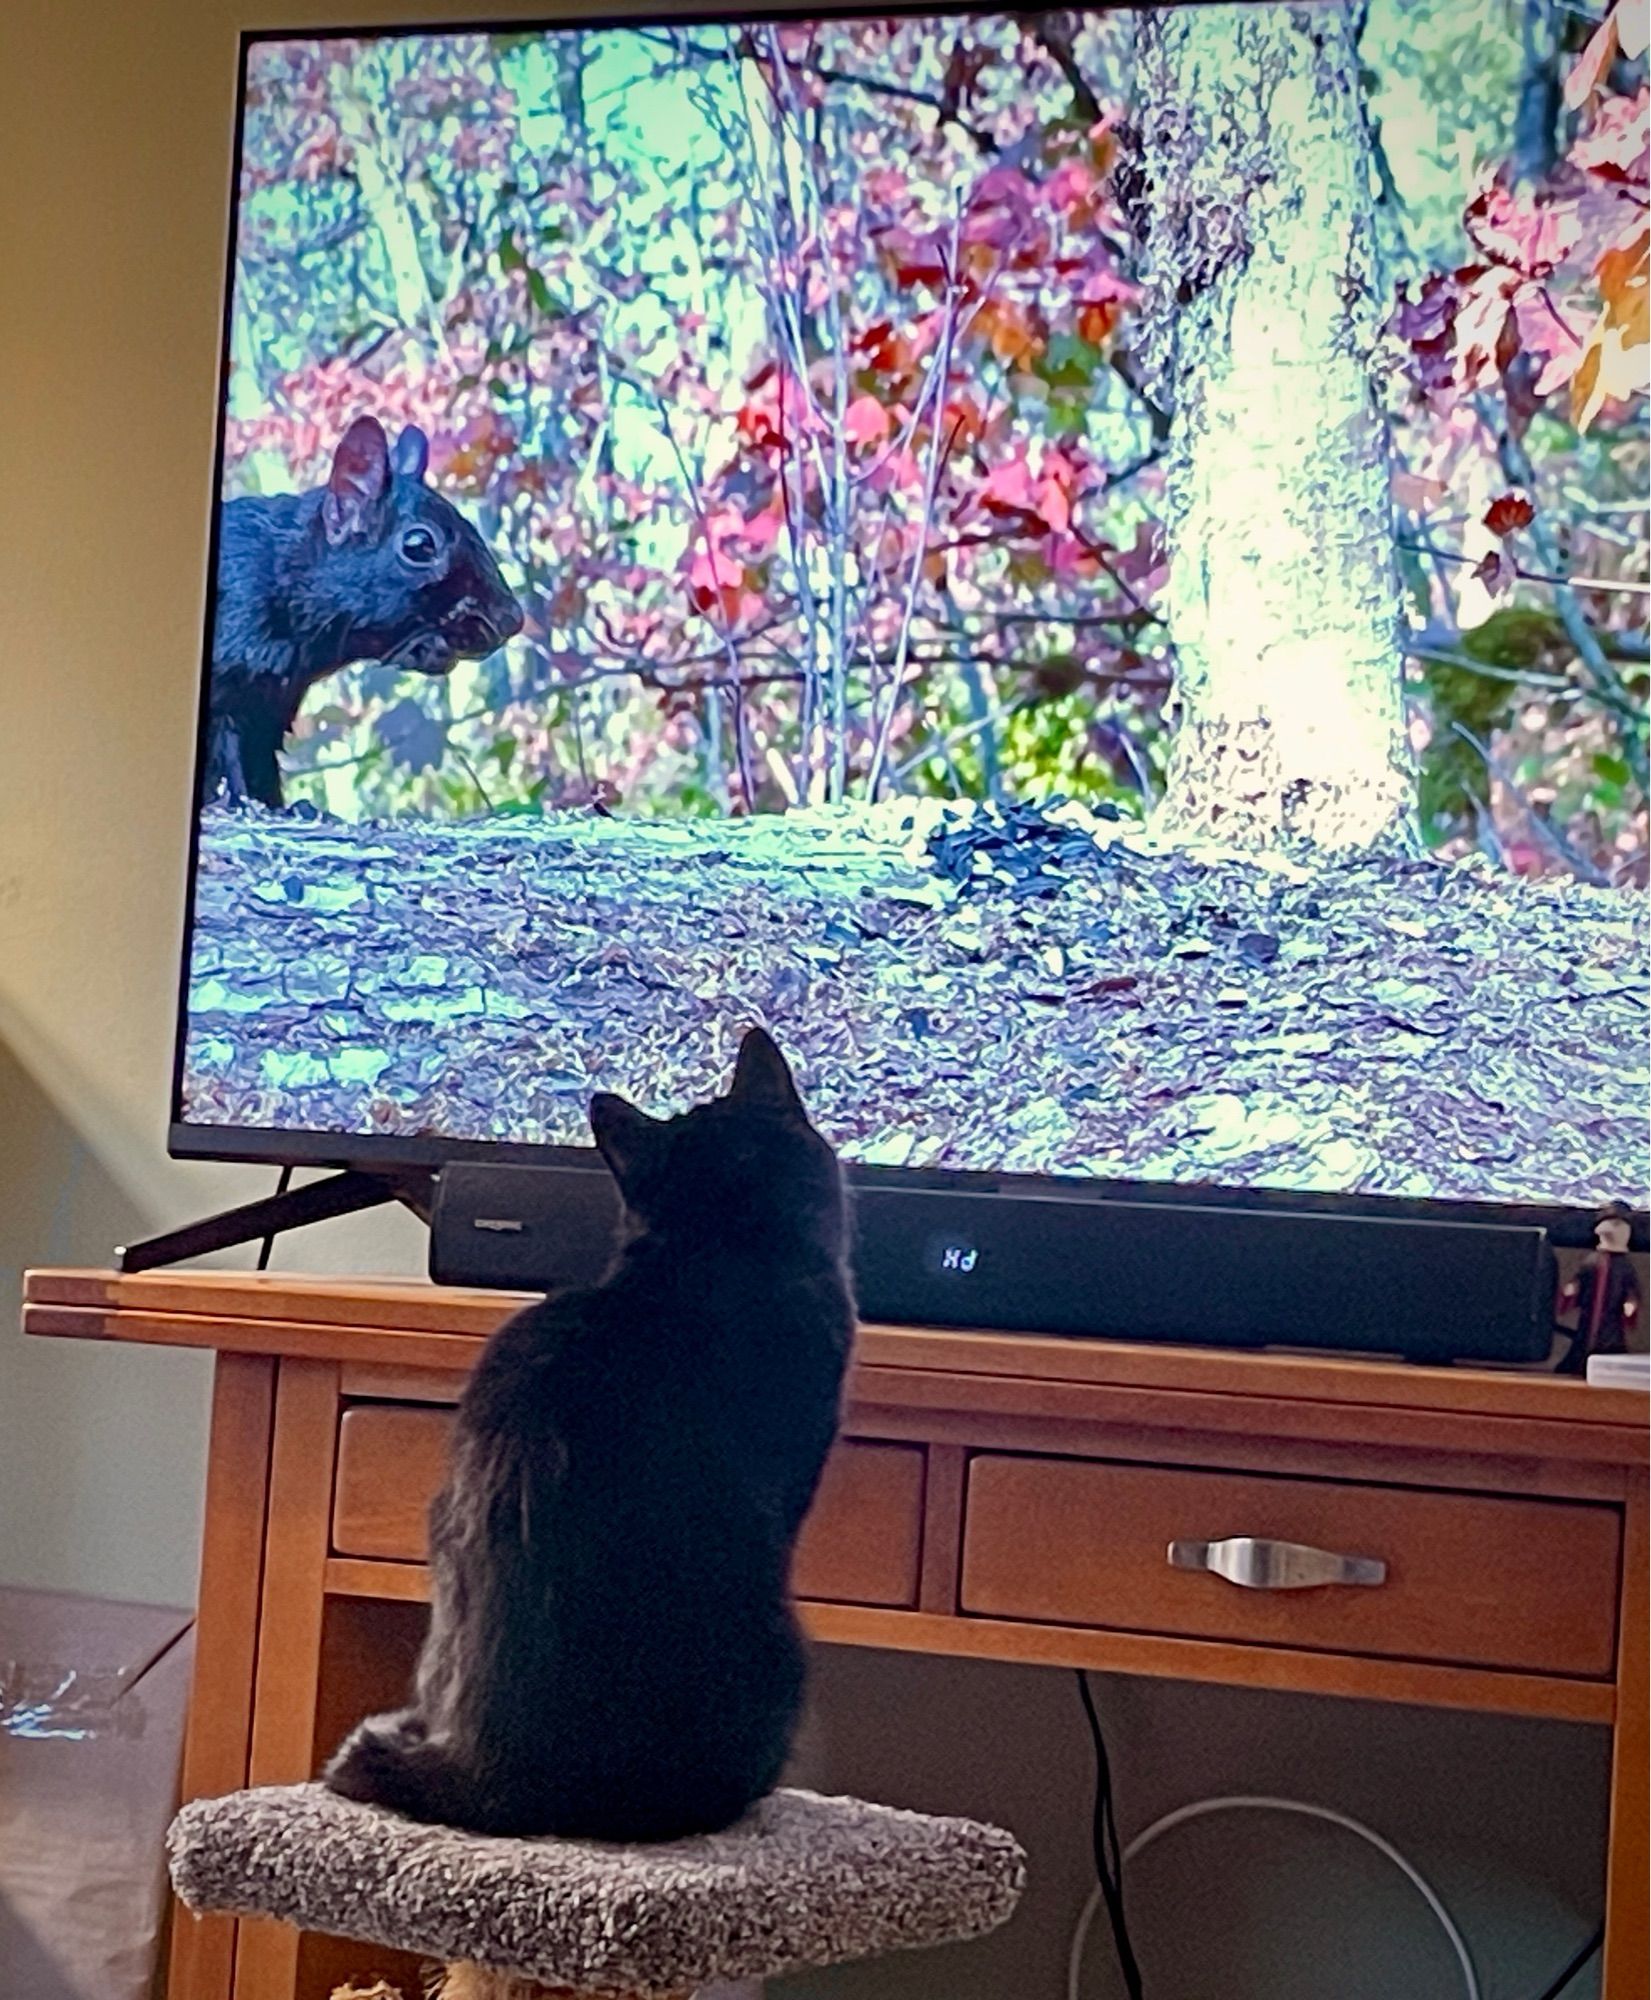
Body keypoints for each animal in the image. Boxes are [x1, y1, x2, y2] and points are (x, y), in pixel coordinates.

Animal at [203, 418, 519, 808]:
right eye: (419, 545)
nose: (512, 618)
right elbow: (228, 761)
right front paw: (241, 803)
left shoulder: (268, 712)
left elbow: (259, 767)